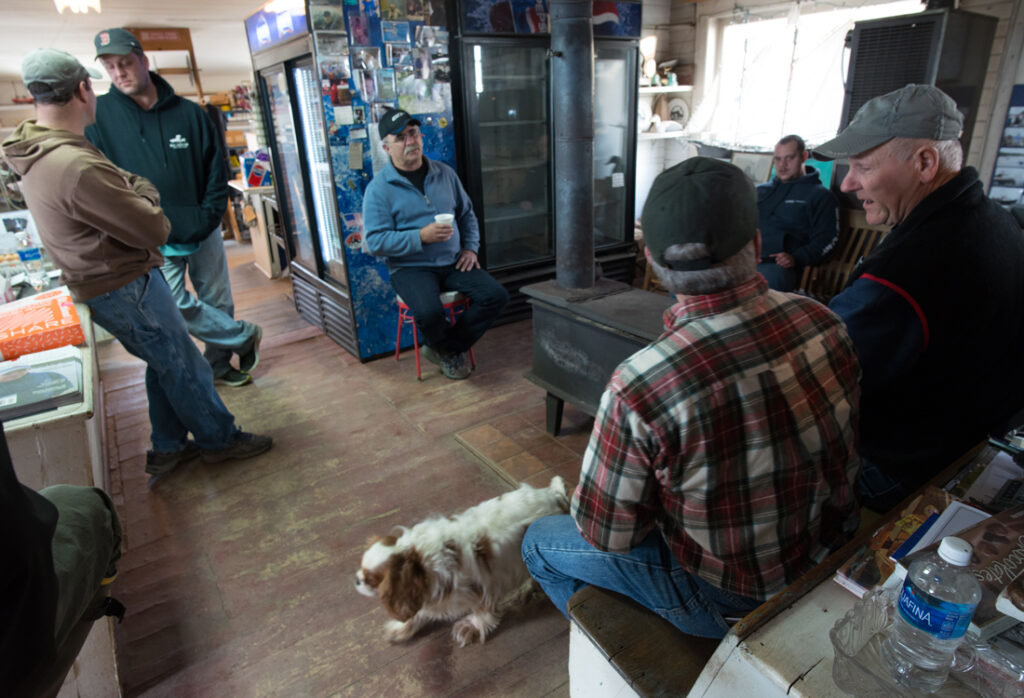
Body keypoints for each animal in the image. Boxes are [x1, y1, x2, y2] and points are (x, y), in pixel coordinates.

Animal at [356, 474, 573, 642]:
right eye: (360, 569)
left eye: (370, 579)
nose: (356, 580)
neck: (419, 560)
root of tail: (554, 495)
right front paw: (402, 628)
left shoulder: (483, 584)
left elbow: (482, 611)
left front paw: (471, 627)